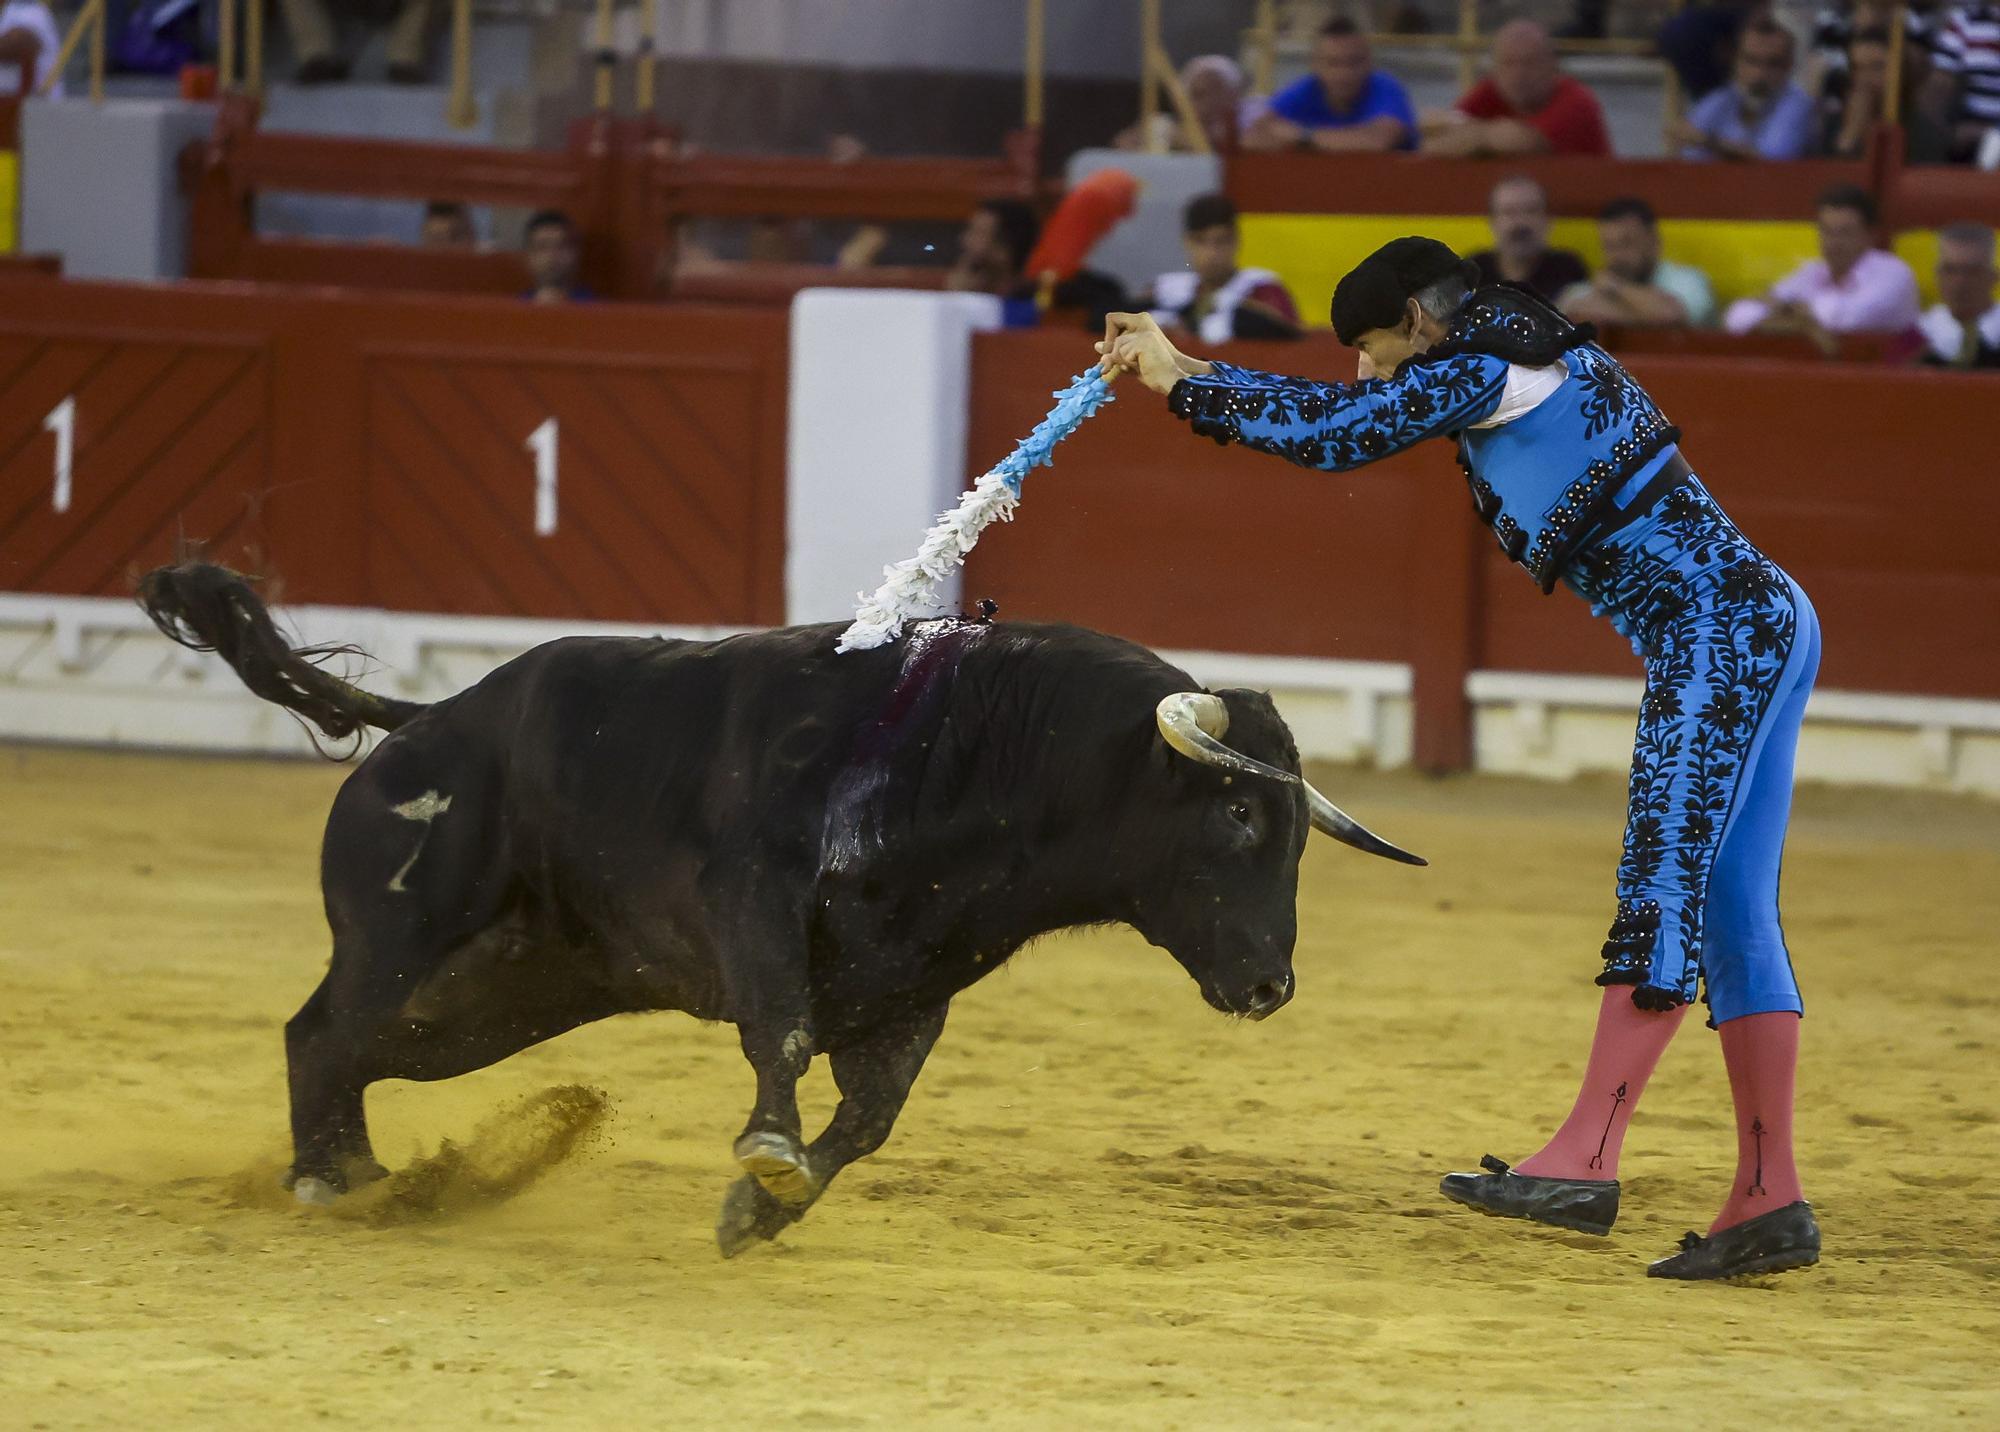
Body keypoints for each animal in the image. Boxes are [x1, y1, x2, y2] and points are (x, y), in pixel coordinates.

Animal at [137, 560, 1424, 1256]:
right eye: (1238, 816)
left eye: (1298, 835)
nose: (1268, 984)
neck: (979, 756)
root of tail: (422, 721)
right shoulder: (751, 904)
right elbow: (785, 1039)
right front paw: (763, 1155)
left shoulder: (915, 985)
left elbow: (867, 1120)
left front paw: (760, 1210)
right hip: (405, 938)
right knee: (319, 1030)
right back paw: (323, 1180)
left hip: (497, 1000)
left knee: (359, 1049)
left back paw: (365, 1176)